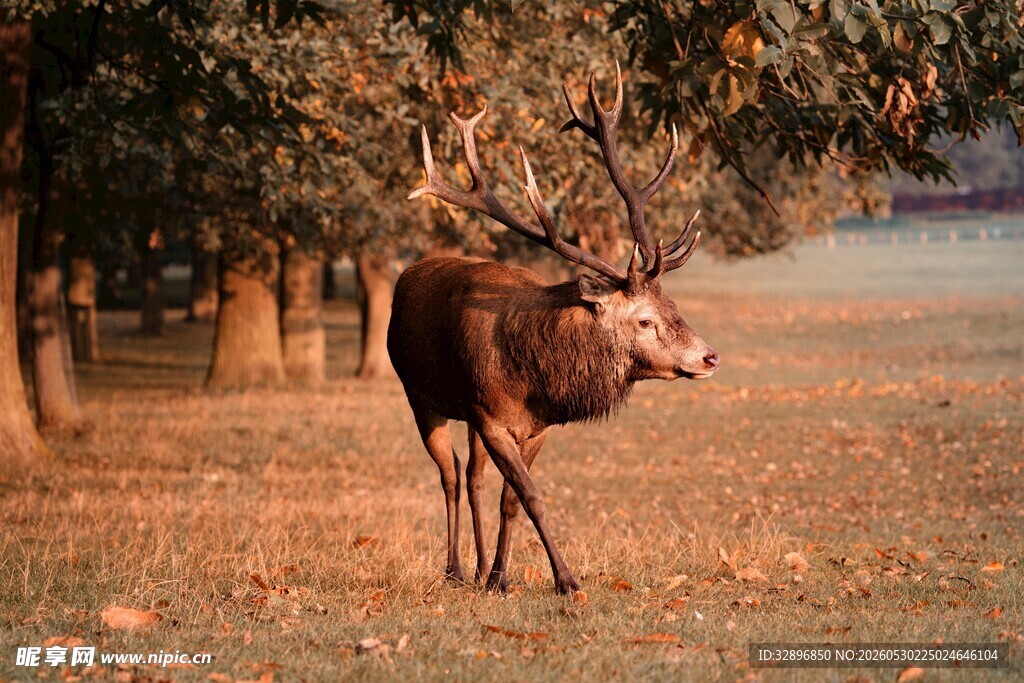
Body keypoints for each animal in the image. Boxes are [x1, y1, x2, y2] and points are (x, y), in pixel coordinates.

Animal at [387, 63, 719, 595]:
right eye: (644, 318)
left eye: (673, 304)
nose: (709, 356)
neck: (535, 379)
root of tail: (407, 276)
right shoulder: (492, 419)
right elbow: (534, 497)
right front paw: (566, 579)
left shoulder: (533, 426)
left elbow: (510, 500)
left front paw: (500, 578)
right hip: (420, 396)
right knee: (451, 475)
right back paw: (454, 569)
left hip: (467, 413)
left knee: (474, 477)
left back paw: (478, 569)